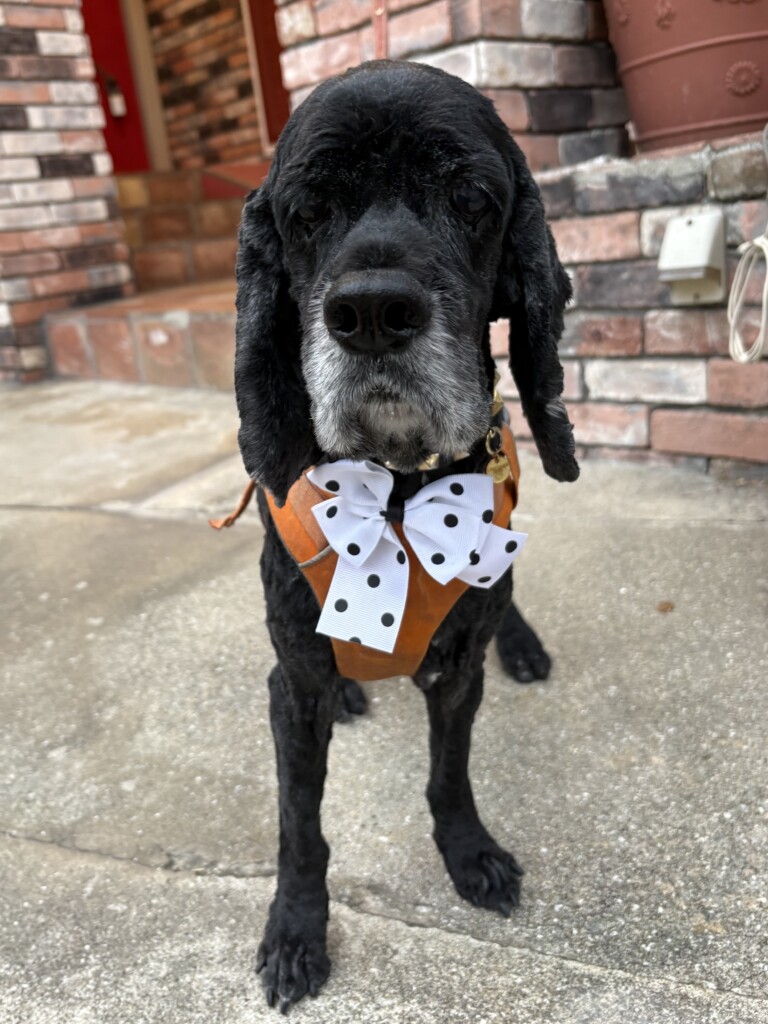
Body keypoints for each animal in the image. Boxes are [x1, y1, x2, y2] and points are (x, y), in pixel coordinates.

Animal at [234, 59, 578, 1011]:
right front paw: (295, 933)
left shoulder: (457, 672)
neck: (392, 496)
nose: (374, 313)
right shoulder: (290, 688)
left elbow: (448, 774)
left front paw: (471, 856)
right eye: (306, 210)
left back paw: (523, 643)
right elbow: (300, 825)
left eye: (470, 198)